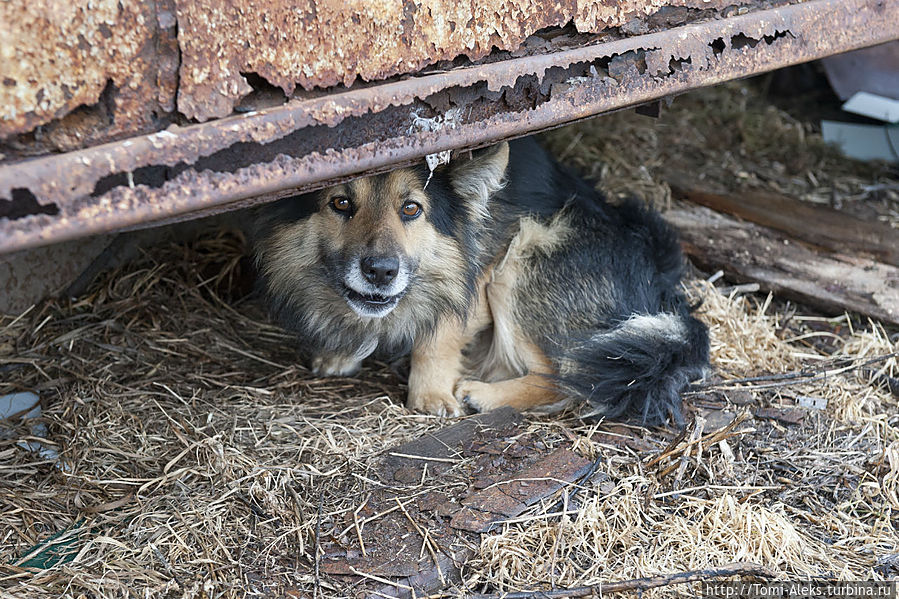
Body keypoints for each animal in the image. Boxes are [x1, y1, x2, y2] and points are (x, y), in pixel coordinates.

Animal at [251, 138, 712, 424]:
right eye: (341, 203)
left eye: (411, 209)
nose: (380, 271)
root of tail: (663, 290)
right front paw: (341, 352)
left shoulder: (481, 272)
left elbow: (438, 334)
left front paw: (431, 396)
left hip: (525, 255)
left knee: (567, 379)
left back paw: (484, 394)